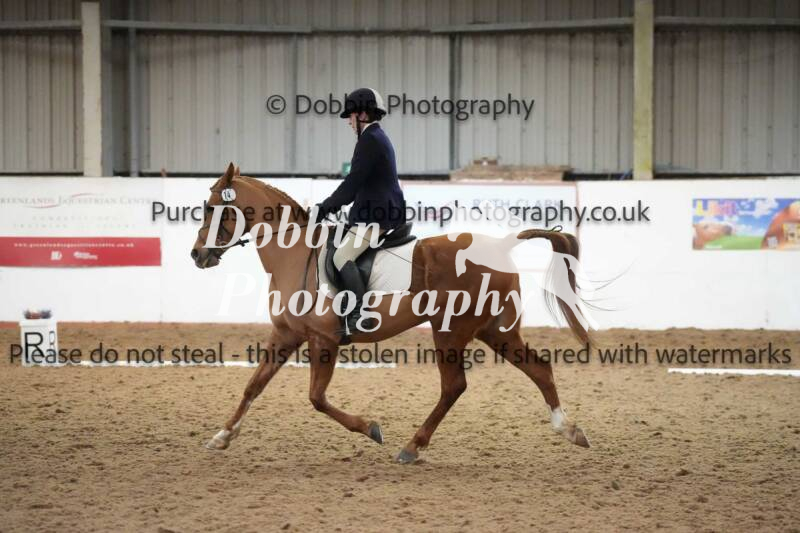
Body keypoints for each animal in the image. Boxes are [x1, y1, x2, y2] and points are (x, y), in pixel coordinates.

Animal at [190, 163, 592, 463]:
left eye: (211, 208)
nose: (197, 254)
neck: (293, 253)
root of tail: (501, 244)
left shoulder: (323, 339)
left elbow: (317, 398)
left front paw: (371, 428)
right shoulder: (286, 334)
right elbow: (253, 385)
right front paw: (222, 435)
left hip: (451, 331)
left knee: (454, 386)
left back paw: (412, 447)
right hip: (495, 330)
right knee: (539, 368)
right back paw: (570, 430)